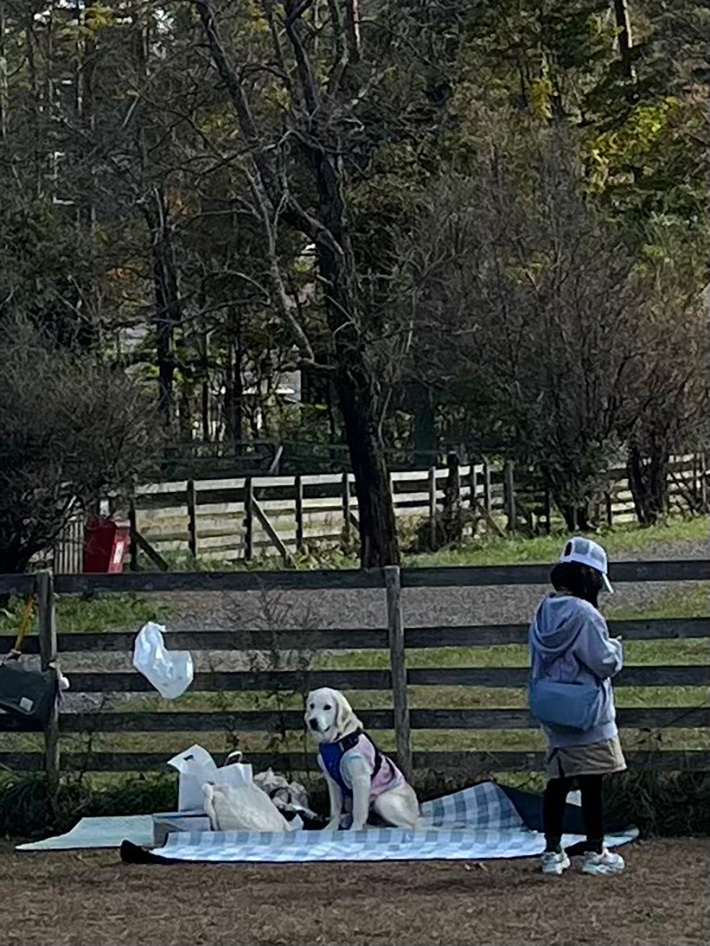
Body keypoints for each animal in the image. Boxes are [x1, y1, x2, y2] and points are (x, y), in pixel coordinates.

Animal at [306, 684, 422, 828]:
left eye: (327, 707)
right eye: (311, 706)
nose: (312, 721)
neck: (338, 739)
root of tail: (417, 813)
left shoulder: (360, 779)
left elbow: (359, 810)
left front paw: (355, 829)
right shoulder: (331, 780)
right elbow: (335, 809)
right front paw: (331, 827)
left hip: (382, 800)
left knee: (407, 826)